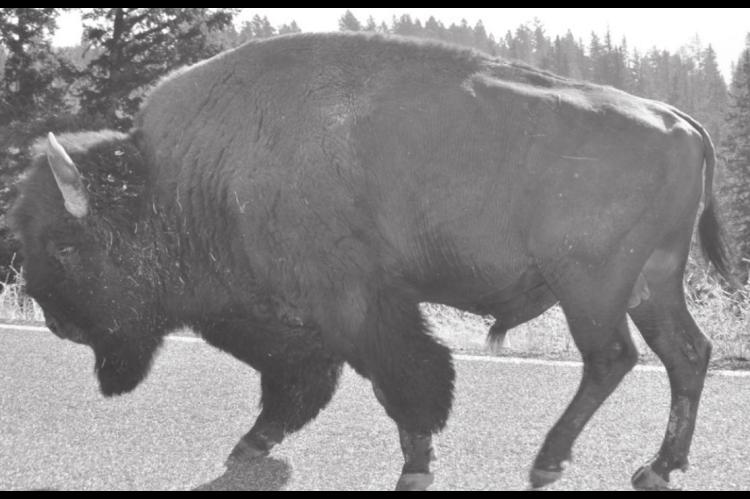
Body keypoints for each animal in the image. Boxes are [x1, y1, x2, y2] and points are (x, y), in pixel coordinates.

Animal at [9, 32, 730, 490]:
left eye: (67, 246)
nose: (58, 326)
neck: (176, 183)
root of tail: (679, 120)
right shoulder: (299, 317)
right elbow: (304, 379)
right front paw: (253, 442)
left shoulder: (356, 305)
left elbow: (401, 379)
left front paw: (415, 466)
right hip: (652, 283)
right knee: (686, 354)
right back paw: (656, 467)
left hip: (591, 285)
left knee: (613, 358)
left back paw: (550, 462)